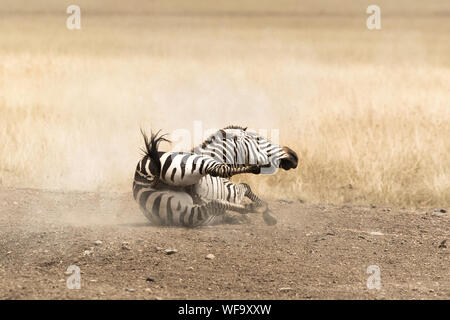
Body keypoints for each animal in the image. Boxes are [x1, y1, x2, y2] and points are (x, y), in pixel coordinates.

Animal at [132, 125, 298, 228]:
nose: (294, 156)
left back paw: (249, 207)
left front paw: (243, 215)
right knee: (219, 170)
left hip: (182, 211)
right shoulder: (231, 190)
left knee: (213, 204)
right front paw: (266, 211)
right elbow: (245, 187)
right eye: (258, 139)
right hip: (195, 165)